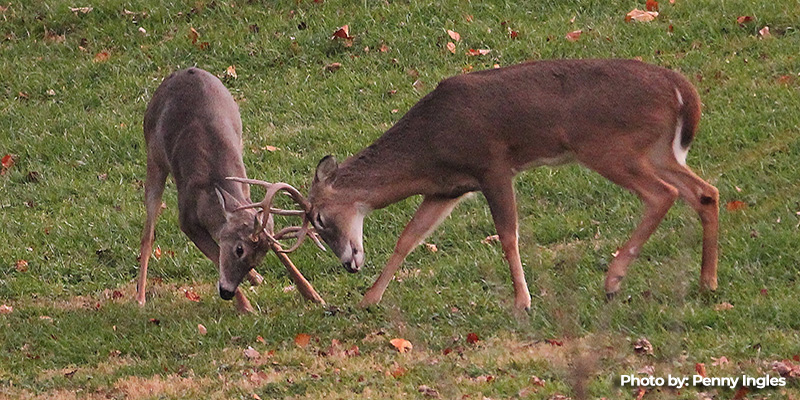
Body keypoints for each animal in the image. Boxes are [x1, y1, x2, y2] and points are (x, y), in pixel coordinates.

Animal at [139, 68, 324, 312]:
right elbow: (216, 253)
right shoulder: (187, 220)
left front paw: (313, 295)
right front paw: (246, 307)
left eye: (257, 260)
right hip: (154, 157)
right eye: (239, 249)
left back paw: (258, 279)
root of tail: (180, 72)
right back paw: (140, 297)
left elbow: (273, 241)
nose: (226, 293)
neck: (212, 189)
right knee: (148, 233)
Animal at [304, 58, 720, 312]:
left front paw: (522, 300)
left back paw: (613, 280)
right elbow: (408, 238)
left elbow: (507, 234)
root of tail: (683, 91)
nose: (348, 264)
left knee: (663, 194)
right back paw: (707, 283)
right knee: (705, 192)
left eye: (319, 218)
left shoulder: (493, 166)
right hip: (657, 151)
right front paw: (369, 299)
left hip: (609, 147)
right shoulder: (446, 189)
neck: (427, 148)